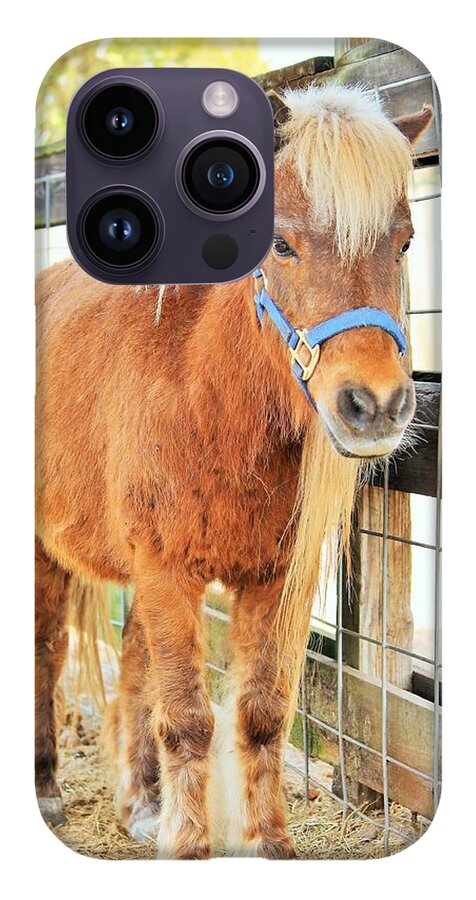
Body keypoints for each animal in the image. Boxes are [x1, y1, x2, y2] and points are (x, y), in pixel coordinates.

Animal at [35, 83, 432, 858]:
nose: (375, 406)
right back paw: (45, 788)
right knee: (46, 651)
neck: (207, 391)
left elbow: (260, 713)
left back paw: (141, 803)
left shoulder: (273, 580)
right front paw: (191, 848)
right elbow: (189, 719)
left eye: (403, 242)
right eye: (281, 243)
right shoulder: (166, 569)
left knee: (134, 664)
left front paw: (268, 846)